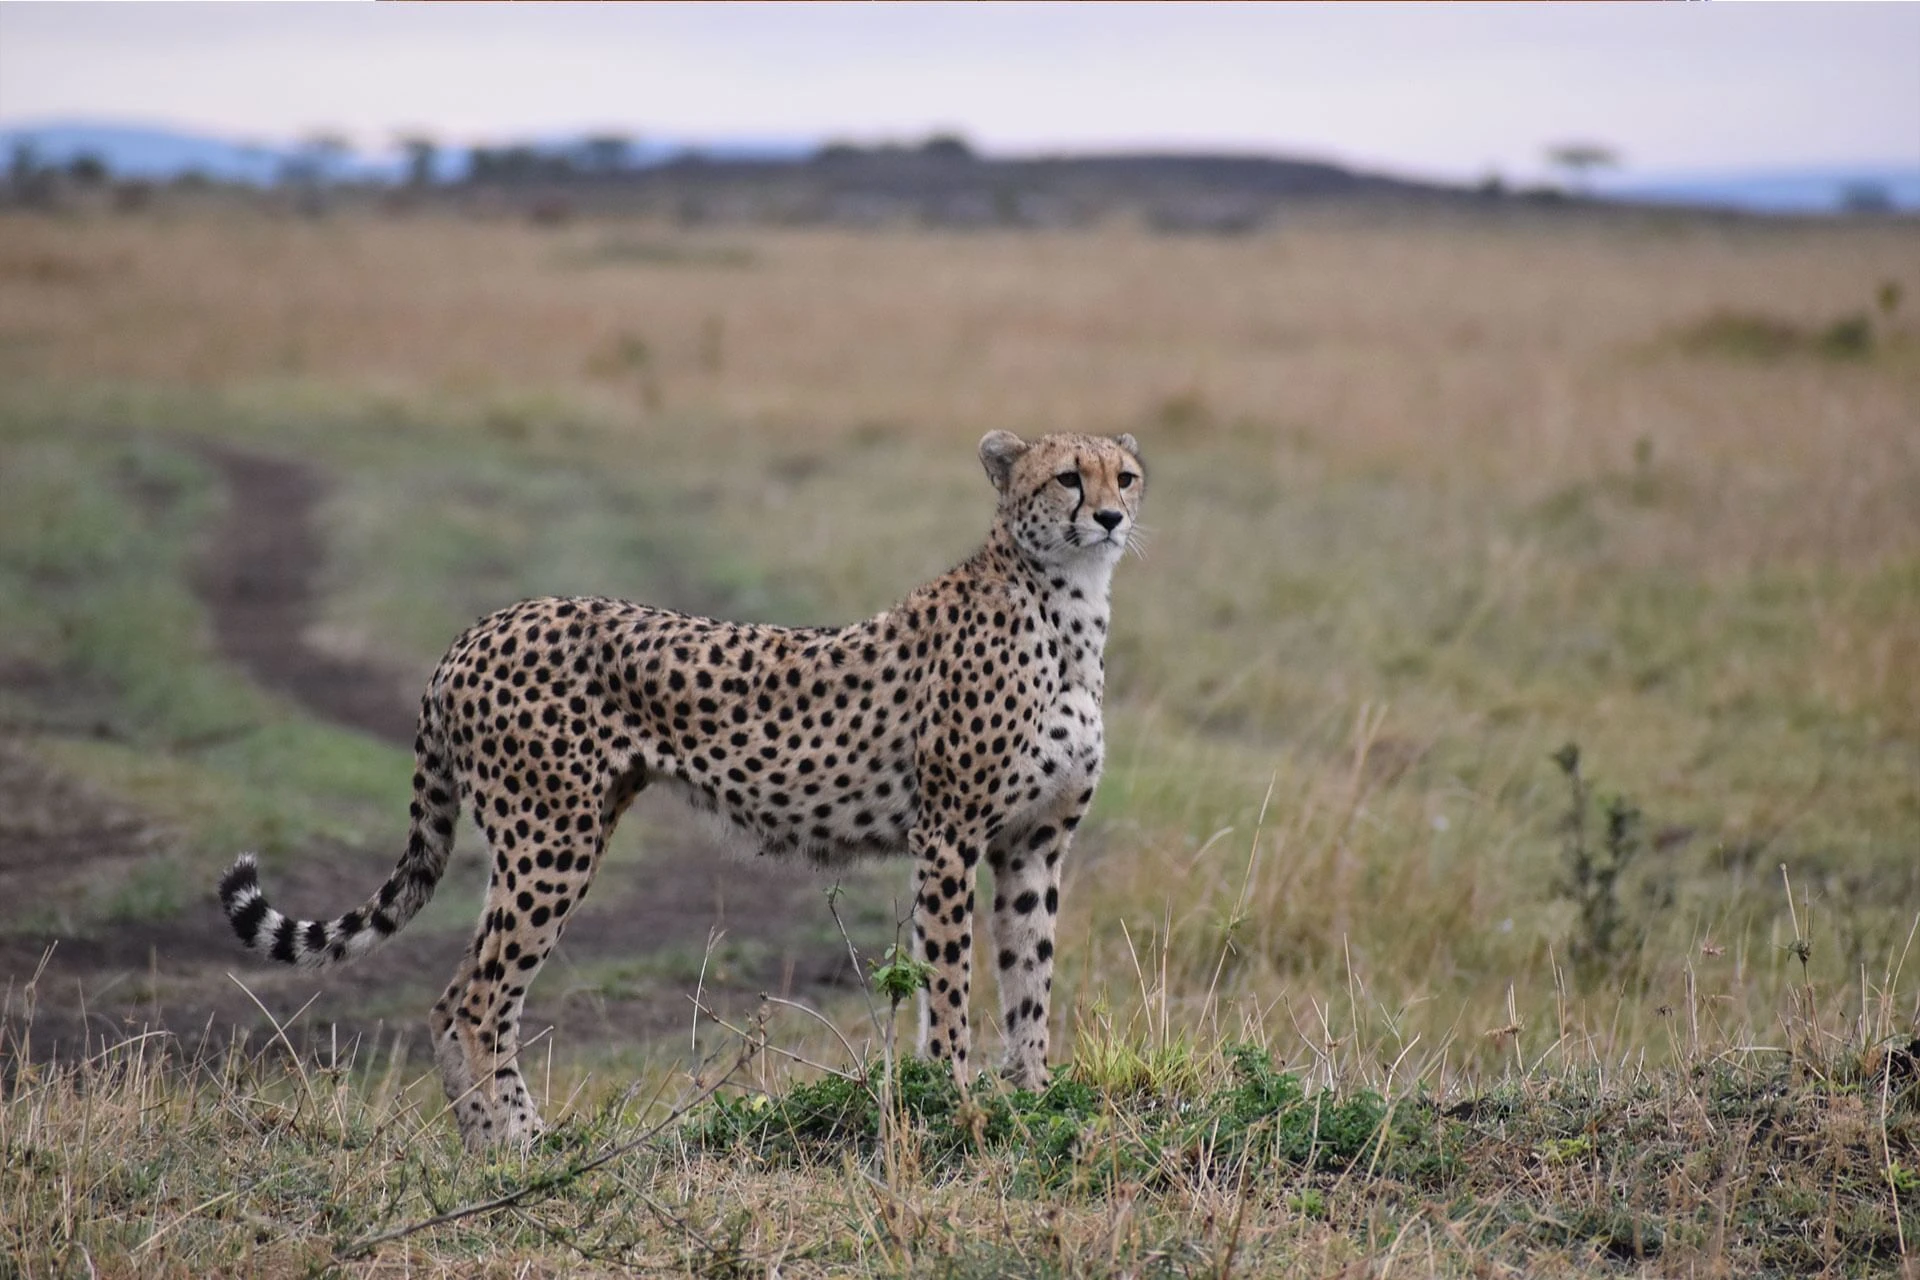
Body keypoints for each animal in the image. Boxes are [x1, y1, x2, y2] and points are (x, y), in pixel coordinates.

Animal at [214, 433, 1136, 1151]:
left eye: (1124, 475)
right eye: (1067, 477)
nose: (1112, 518)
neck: (1067, 608)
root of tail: (479, 629)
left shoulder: (1032, 845)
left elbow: (1029, 976)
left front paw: (1033, 1097)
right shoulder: (948, 835)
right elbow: (949, 985)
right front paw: (952, 1101)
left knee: (467, 998)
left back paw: (502, 1145)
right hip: (550, 839)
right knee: (471, 1001)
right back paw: (522, 1147)